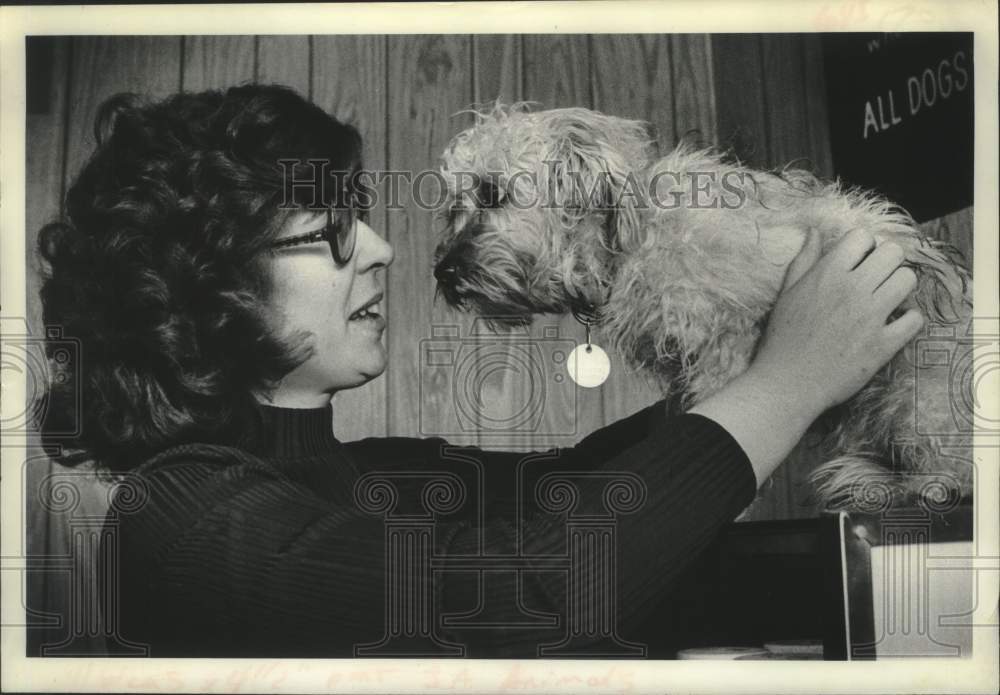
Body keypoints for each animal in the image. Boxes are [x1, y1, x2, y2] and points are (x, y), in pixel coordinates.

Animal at [434, 103, 972, 512]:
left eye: (491, 193)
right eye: (452, 209)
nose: (443, 273)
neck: (632, 241)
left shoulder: (728, 343)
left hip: (912, 398)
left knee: (951, 468)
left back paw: (920, 484)